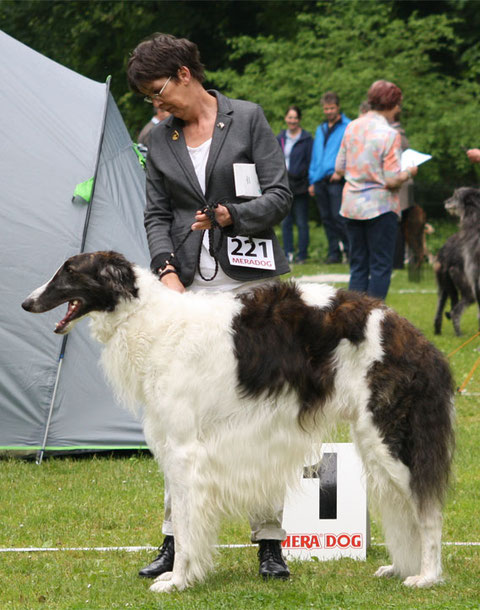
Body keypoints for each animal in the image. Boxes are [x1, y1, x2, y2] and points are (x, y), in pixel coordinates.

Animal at [22, 251, 456, 588]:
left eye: (70, 271)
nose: (27, 303)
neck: (151, 322)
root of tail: (417, 339)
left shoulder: (184, 451)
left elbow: (185, 524)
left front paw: (179, 580)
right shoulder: (172, 448)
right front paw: (176, 574)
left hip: (390, 439)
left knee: (428, 511)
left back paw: (427, 576)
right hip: (374, 440)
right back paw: (400, 568)